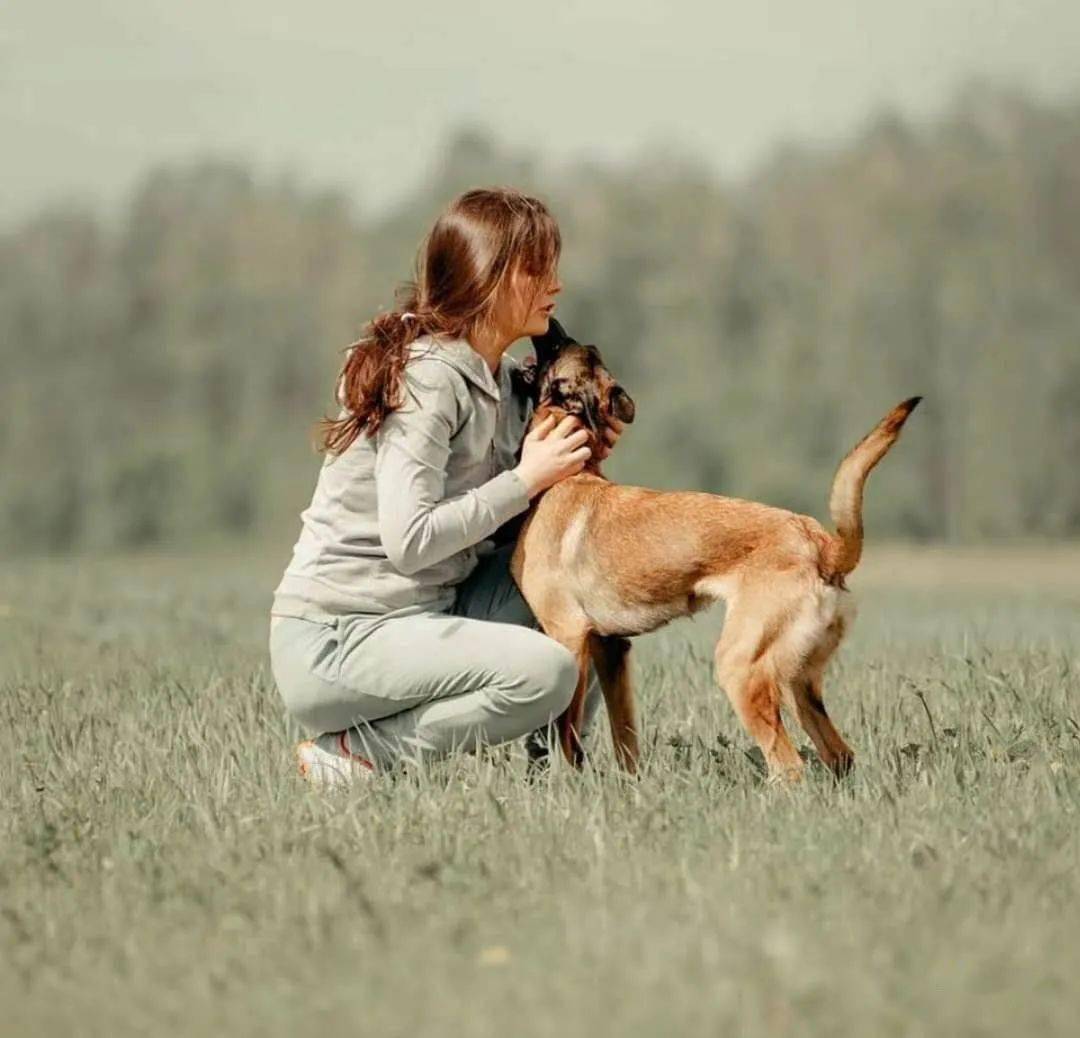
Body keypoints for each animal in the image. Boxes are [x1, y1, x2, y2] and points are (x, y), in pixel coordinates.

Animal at [505, 319, 920, 782]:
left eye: (560, 345)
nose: (552, 323)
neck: (570, 473)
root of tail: (822, 544)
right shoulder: (611, 649)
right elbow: (623, 737)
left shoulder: (569, 636)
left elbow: (564, 731)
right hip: (798, 683)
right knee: (839, 755)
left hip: (741, 667)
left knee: (789, 766)